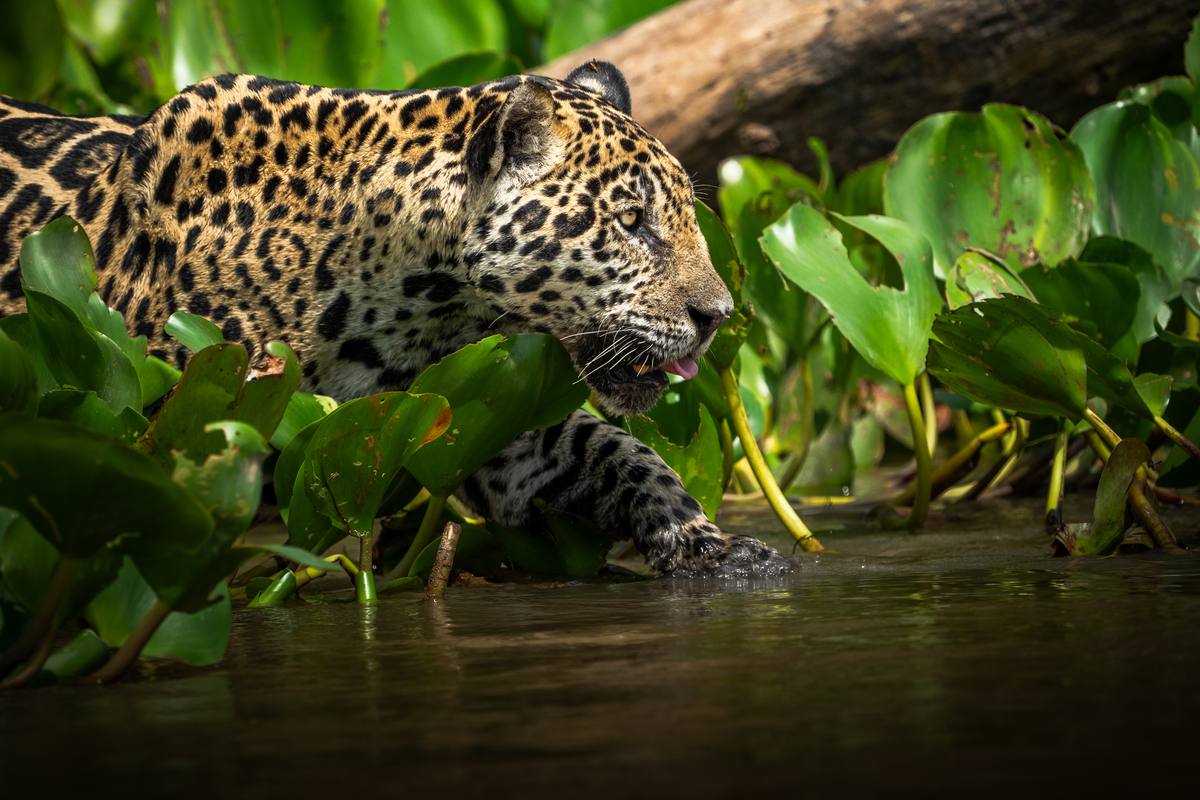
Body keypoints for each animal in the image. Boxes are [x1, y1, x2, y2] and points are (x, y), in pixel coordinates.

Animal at [0, 60, 792, 576]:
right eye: (630, 221)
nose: (718, 316)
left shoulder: (494, 422)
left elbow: (621, 450)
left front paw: (707, 544)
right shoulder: (163, 441)